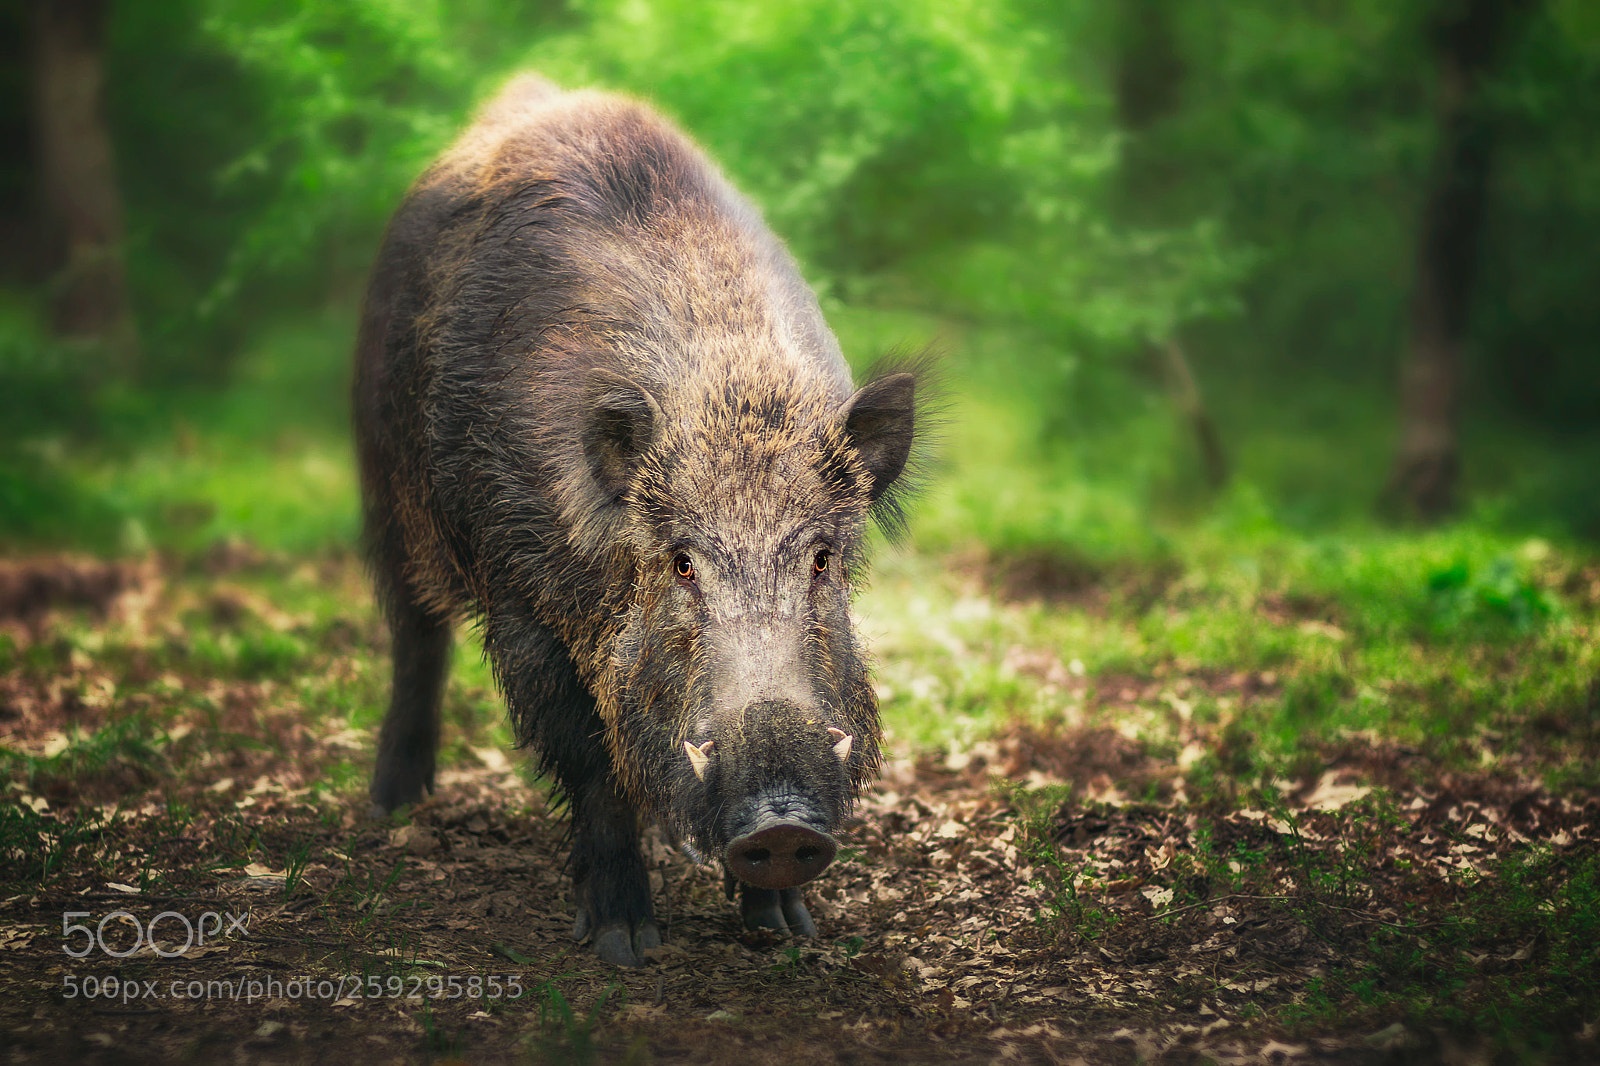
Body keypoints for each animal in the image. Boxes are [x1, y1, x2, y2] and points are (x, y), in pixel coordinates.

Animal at [354, 74, 922, 967]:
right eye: (681, 561)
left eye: (822, 558)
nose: (782, 825)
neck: (723, 388)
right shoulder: (520, 595)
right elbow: (591, 761)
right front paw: (624, 945)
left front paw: (788, 930)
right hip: (384, 481)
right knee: (415, 636)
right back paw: (393, 807)